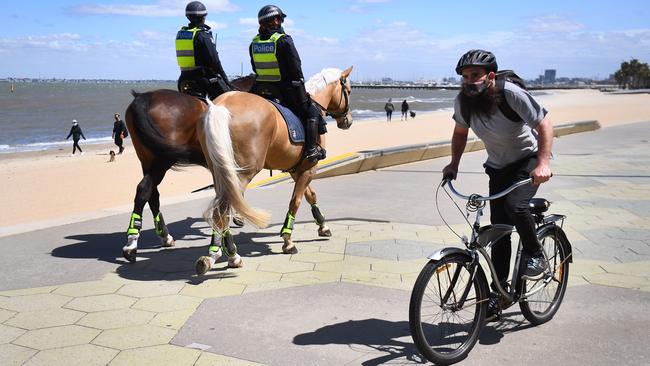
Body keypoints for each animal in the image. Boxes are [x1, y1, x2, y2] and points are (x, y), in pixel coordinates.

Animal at [195, 66, 352, 274]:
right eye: (348, 90)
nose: (348, 121)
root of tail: (220, 105)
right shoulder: (309, 168)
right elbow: (296, 201)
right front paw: (288, 240)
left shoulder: (297, 169)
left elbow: (310, 195)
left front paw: (323, 225)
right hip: (240, 175)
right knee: (223, 210)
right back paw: (228, 255)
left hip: (220, 171)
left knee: (220, 209)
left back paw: (218, 253)